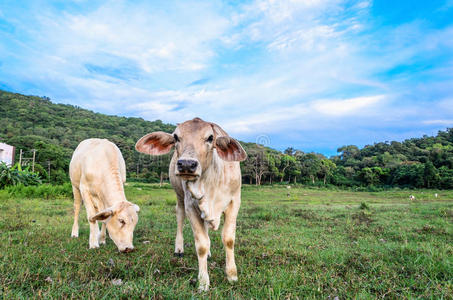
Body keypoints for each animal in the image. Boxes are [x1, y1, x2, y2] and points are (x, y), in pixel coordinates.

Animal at [135, 118, 247, 290]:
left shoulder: (234, 202)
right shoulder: (190, 206)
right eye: (175, 137)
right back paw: (179, 248)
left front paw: (232, 275)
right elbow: (201, 245)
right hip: (180, 198)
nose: (187, 164)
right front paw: (203, 282)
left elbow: (228, 239)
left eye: (210, 138)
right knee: (180, 218)